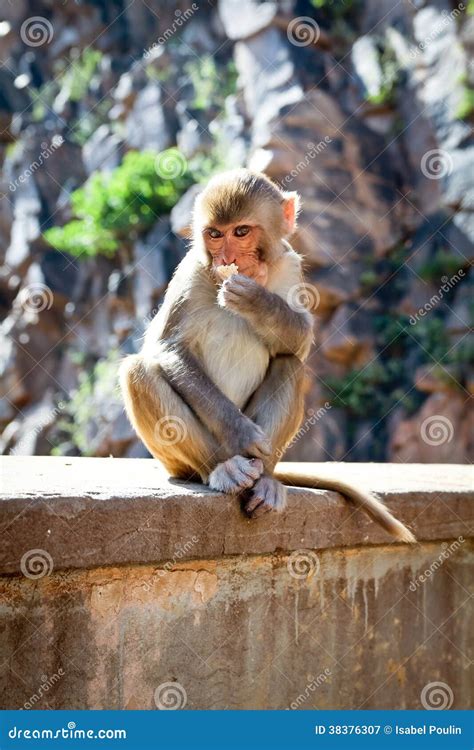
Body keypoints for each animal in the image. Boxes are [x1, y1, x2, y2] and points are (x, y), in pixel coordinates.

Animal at [120, 169, 415, 544]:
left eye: (241, 232)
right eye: (215, 234)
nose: (226, 259)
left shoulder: (289, 263)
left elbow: (299, 342)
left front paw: (256, 301)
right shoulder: (191, 271)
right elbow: (167, 348)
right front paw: (243, 434)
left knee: (290, 365)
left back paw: (266, 482)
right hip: (178, 463)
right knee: (138, 371)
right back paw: (222, 468)